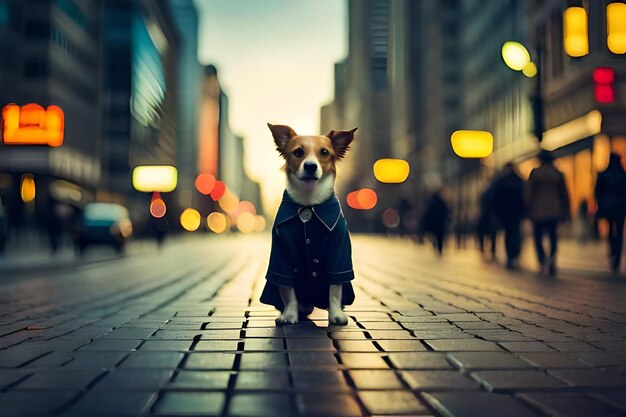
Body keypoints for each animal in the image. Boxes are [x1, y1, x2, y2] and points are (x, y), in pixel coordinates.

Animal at [258, 123, 356, 324]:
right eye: (298, 152)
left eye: (324, 152)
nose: (310, 166)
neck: (308, 204)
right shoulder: (281, 254)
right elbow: (287, 290)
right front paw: (289, 315)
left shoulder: (339, 251)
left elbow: (335, 287)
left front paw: (336, 313)